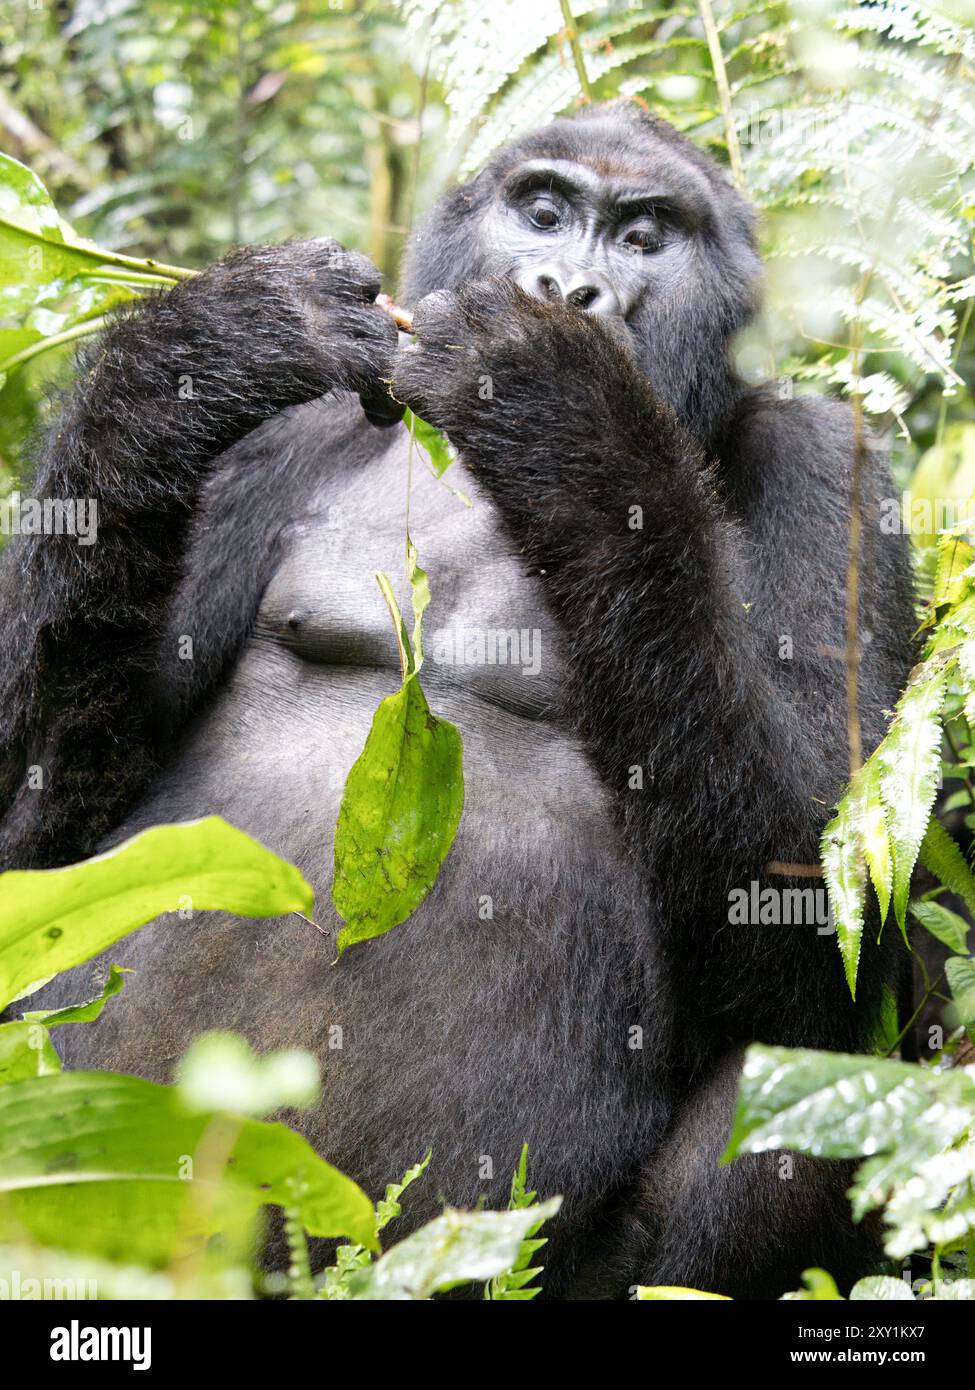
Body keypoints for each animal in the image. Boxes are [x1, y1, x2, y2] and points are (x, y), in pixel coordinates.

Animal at [0, 102, 912, 1295]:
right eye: (544, 211)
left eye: (644, 238)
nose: (566, 286)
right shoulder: (277, 440)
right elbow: (44, 844)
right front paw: (207, 345)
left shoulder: (831, 471)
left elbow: (821, 938)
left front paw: (567, 414)